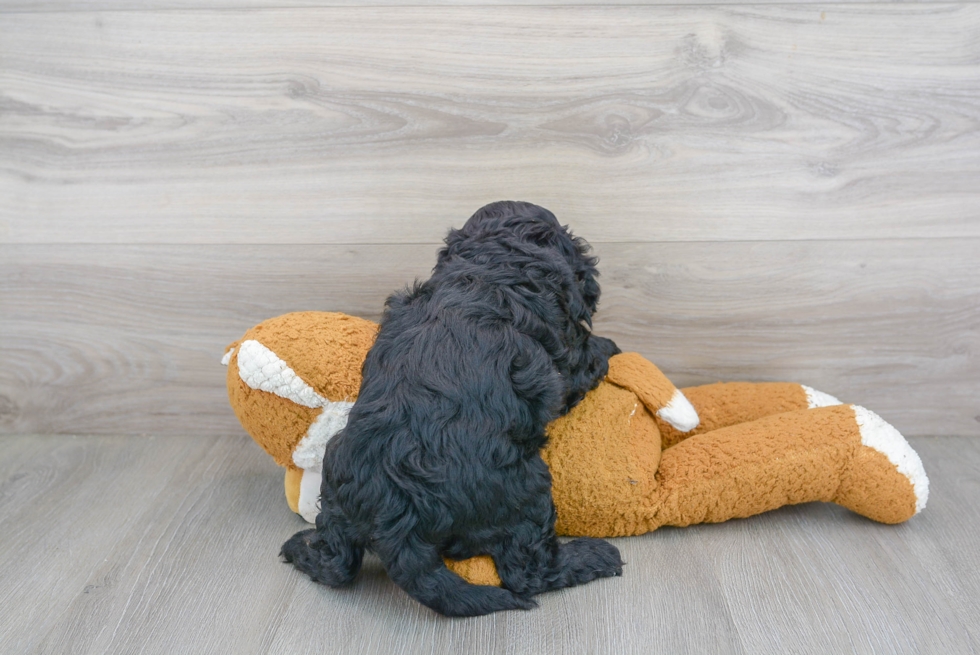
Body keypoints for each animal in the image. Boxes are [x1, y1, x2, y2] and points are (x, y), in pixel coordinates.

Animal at [280, 200, 624, 616]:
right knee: (531, 571)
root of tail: (398, 522)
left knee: (336, 564)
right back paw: (596, 556)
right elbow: (587, 357)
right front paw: (610, 347)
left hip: (337, 489)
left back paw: (300, 548)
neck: (490, 264)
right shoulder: (566, 358)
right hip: (527, 491)